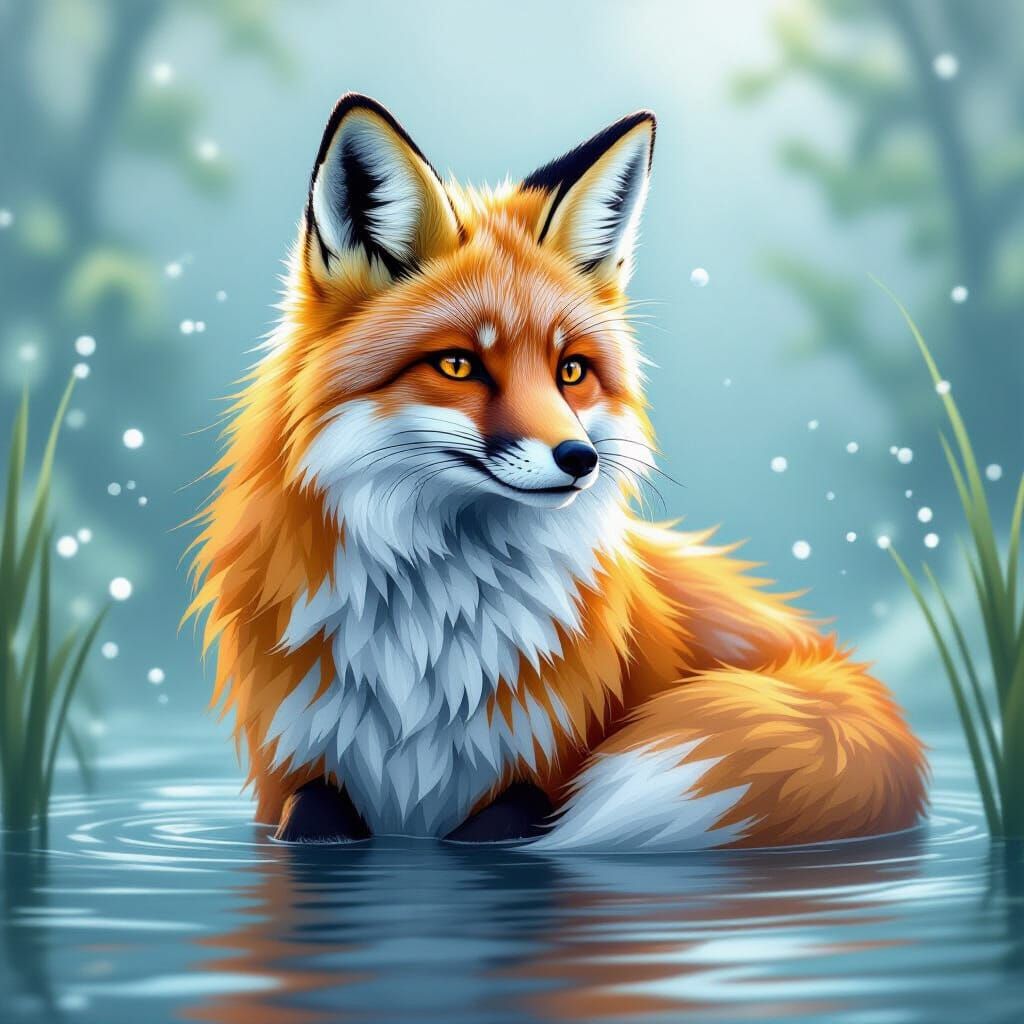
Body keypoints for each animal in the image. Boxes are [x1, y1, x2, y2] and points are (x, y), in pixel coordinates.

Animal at [187, 94, 927, 849]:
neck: (430, 643)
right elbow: (314, 814)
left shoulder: (522, 793)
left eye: (571, 370)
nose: (580, 459)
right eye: (458, 364)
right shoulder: (299, 787)